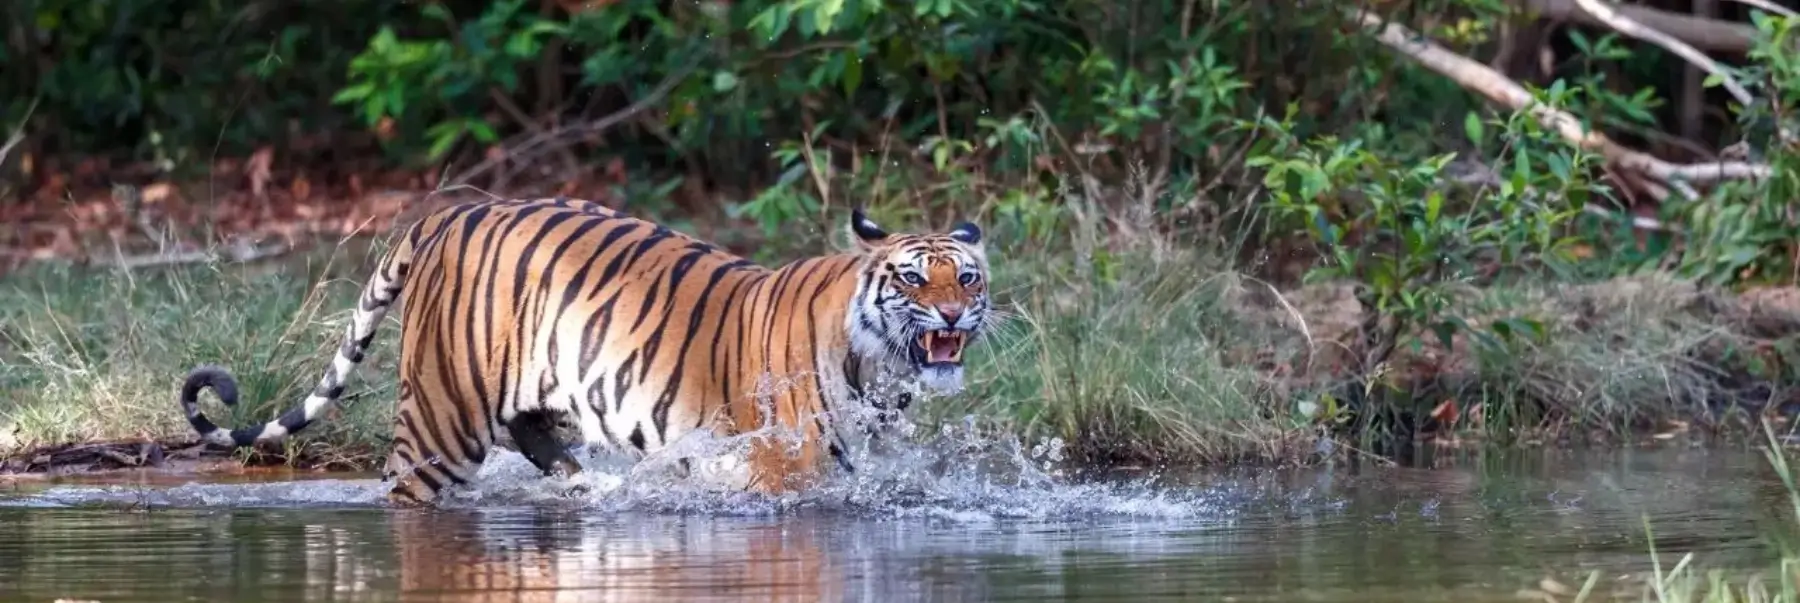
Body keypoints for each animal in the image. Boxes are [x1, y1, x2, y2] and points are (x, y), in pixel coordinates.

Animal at [177, 197, 991, 506]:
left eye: (968, 276)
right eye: (914, 278)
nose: (954, 312)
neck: (880, 366)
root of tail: (453, 210)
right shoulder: (784, 461)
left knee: (539, 441)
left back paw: (585, 486)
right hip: (441, 415)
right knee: (408, 485)